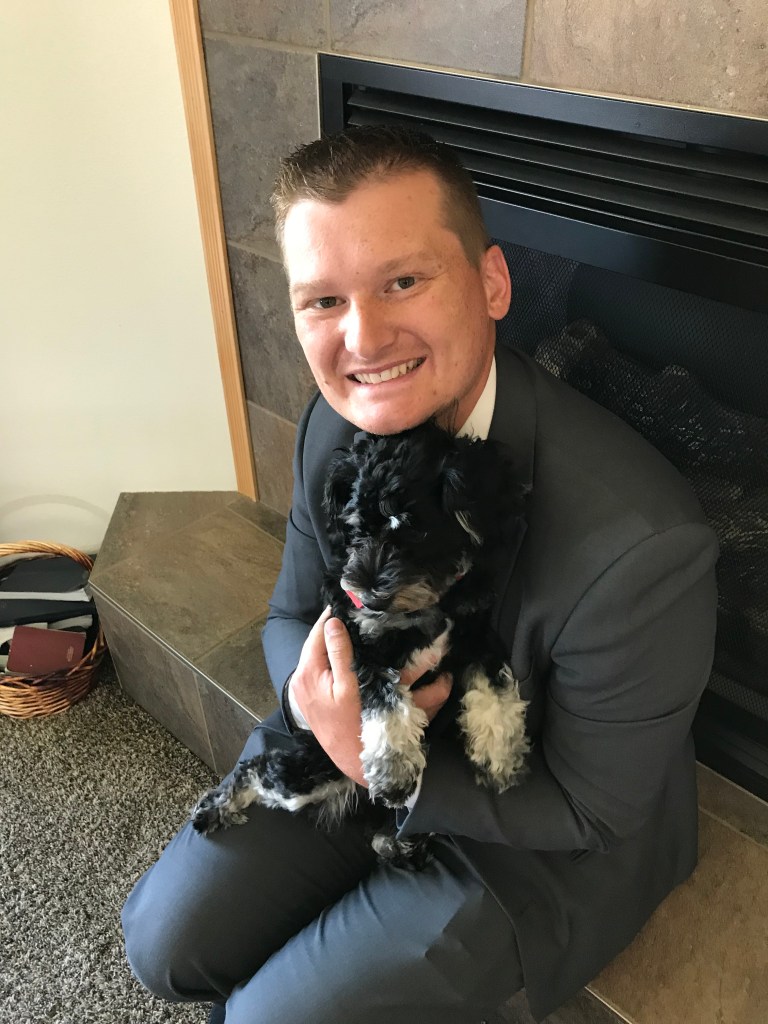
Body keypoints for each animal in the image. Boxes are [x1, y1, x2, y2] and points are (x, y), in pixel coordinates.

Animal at [190, 420, 530, 861]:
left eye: (415, 528)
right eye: (355, 527)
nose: (369, 595)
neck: (424, 607)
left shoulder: (474, 633)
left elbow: (497, 685)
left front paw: (500, 754)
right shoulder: (362, 644)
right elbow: (387, 705)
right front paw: (395, 771)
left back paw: (399, 840)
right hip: (310, 771)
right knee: (256, 771)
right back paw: (213, 809)